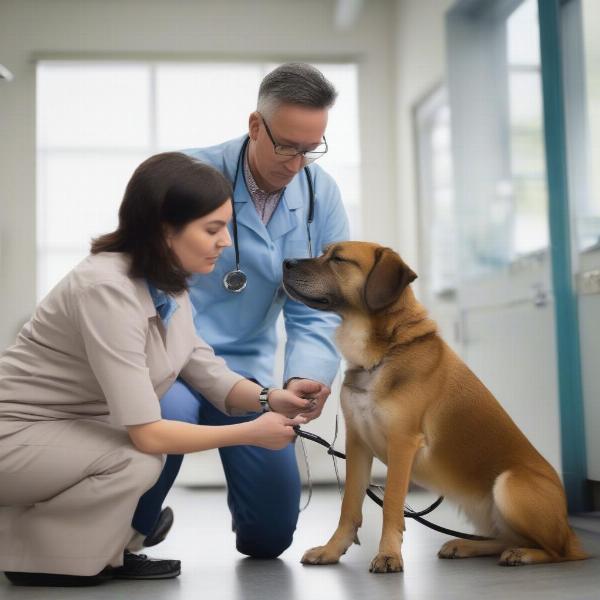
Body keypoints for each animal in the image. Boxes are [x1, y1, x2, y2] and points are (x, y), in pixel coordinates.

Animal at [284, 243, 588, 572]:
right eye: (323, 251)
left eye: (338, 259)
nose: (285, 262)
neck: (381, 355)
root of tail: (569, 527)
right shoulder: (357, 444)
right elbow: (349, 506)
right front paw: (332, 550)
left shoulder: (402, 443)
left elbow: (391, 505)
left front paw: (389, 555)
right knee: (506, 538)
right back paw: (466, 545)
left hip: (509, 486)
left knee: (559, 551)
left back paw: (524, 554)